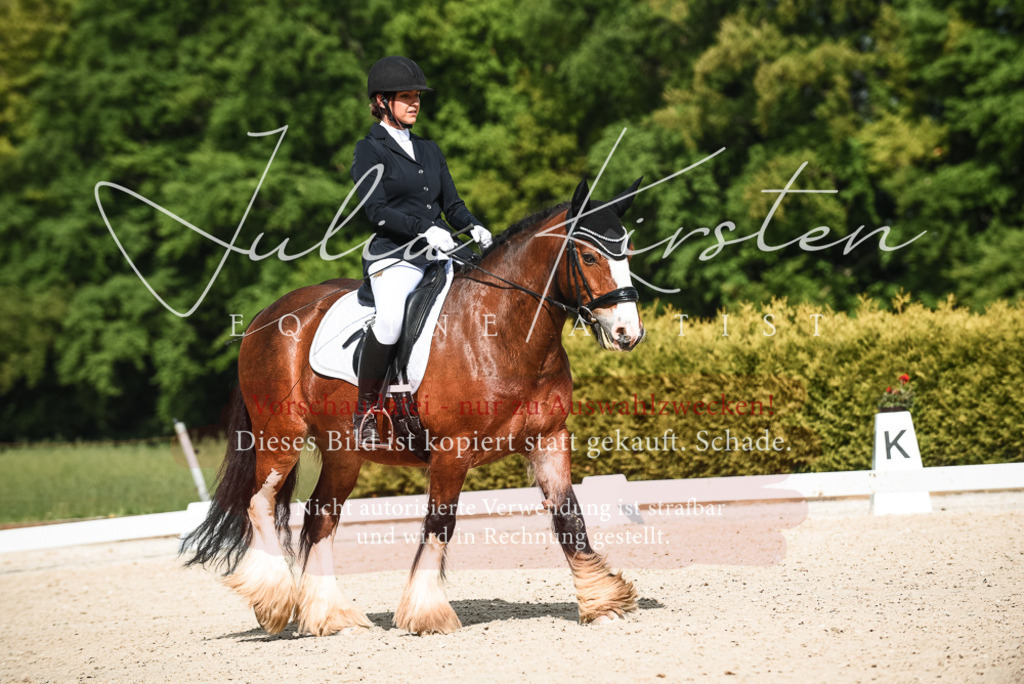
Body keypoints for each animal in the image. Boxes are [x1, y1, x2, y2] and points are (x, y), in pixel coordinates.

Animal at [182, 176, 647, 636]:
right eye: (588, 256)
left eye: (627, 254)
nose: (628, 333)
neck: (502, 332)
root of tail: (265, 316)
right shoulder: (452, 449)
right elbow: (441, 522)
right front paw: (427, 612)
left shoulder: (549, 438)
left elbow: (569, 516)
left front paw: (601, 604)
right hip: (280, 435)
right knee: (260, 502)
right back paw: (274, 599)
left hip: (342, 453)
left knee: (320, 518)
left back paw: (332, 615)